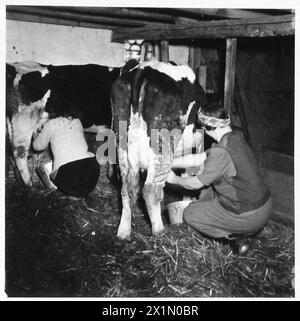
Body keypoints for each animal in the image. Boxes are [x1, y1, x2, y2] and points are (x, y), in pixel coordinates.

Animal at [111, 60, 207, 239]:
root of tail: (143, 70)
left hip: (121, 143)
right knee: (150, 189)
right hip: (162, 143)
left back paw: (123, 232)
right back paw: (159, 230)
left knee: (125, 189)